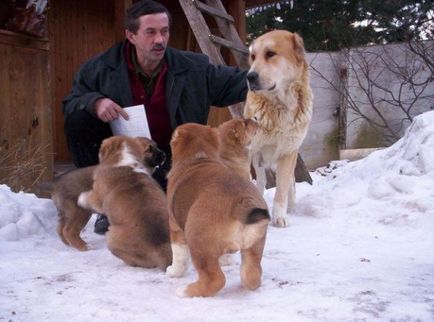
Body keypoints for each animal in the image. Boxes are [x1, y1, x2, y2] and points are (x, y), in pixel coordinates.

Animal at [76, 136, 171, 270]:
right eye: (150, 149)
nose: (164, 154)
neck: (123, 158)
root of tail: (160, 247)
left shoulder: (98, 197)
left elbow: (89, 197)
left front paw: (80, 198)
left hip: (111, 237)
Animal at [165, 122, 268, 296]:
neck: (199, 157)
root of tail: (239, 202)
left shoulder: (175, 229)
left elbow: (178, 256)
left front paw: (173, 271)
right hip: (255, 244)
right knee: (252, 273)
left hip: (198, 243)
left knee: (215, 280)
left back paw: (185, 291)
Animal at [244, 29, 312, 226]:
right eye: (253, 56)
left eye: (270, 54)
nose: (249, 76)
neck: (279, 106)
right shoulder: (249, 150)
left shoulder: (288, 152)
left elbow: (282, 189)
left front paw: (280, 217)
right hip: (258, 160)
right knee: (260, 181)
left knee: (290, 182)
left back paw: (292, 207)